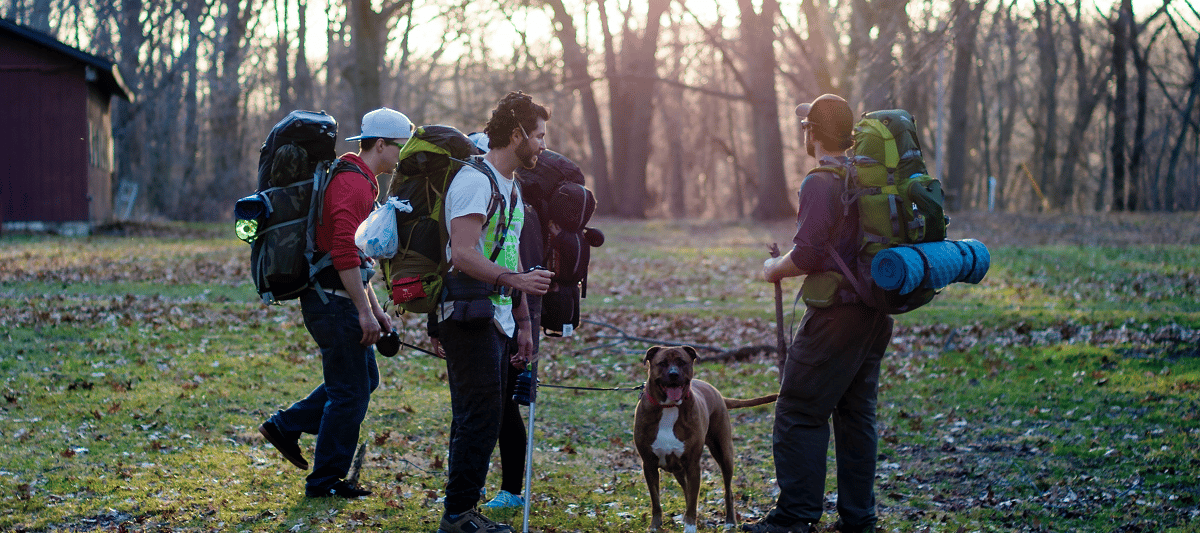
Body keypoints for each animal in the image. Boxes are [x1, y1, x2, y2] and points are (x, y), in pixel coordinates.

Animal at [638, 343, 777, 530]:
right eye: (662, 363)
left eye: (682, 362)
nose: (674, 374)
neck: (668, 407)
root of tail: (716, 391)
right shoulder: (649, 465)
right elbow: (656, 500)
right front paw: (655, 526)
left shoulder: (693, 465)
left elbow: (692, 501)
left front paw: (690, 527)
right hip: (678, 468)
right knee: (686, 489)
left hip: (724, 453)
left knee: (727, 491)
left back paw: (730, 522)